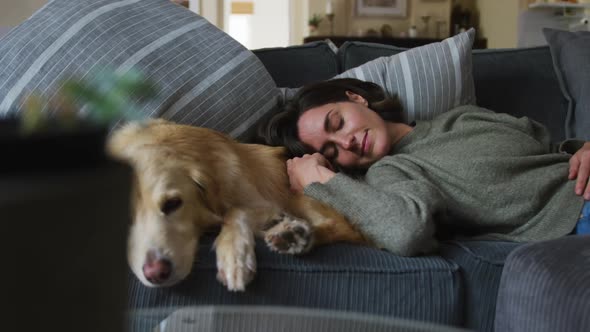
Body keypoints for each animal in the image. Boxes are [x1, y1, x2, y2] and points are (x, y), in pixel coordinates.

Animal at [106, 119, 366, 290]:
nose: (156, 273)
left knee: (343, 229)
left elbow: (234, 211)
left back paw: (294, 235)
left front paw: (235, 255)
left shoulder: (264, 201)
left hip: (297, 196)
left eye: (173, 203)